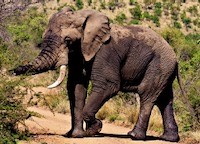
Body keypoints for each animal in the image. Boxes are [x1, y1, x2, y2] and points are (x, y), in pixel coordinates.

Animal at [12, 7, 181, 142]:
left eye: (68, 40)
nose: (12, 71)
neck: (82, 18)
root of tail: (175, 56)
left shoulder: (105, 52)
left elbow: (108, 85)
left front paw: (95, 129)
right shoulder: (80, 51)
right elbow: (76, 87)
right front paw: (76, 135)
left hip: (159, 65)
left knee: (147, 95)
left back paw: (134, 136)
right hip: (164, 69)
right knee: (164, 99)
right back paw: (169, 138)